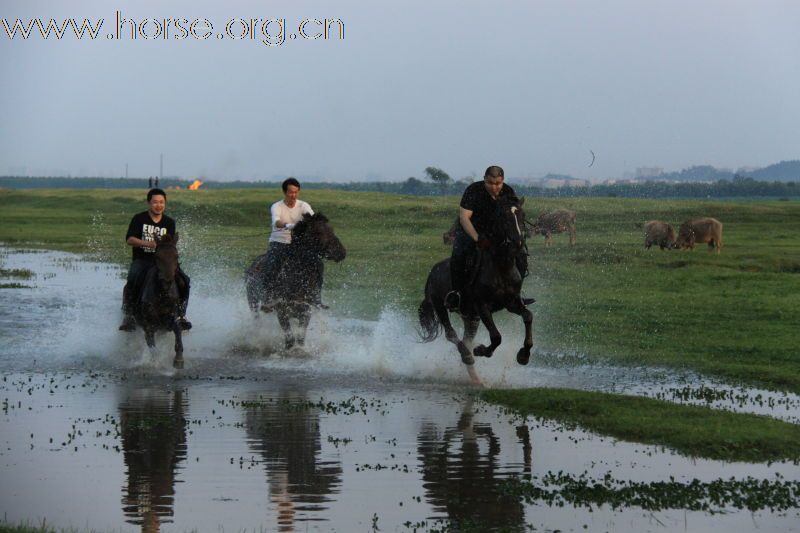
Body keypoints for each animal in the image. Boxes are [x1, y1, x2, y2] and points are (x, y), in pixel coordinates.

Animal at [136, 235, 189, 368]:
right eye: (157, 256)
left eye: (176, 256)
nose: (166, 282)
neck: (162, 295)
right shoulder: (148, 324)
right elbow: (152, 345)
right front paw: (155, 362)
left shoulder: (172, 318)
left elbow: (178, 330)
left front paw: (178, 360)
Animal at [244, 212, 344, 350]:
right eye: (318, 231)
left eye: (331, 229)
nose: (341, 252)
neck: (297, 276)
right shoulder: (282, 310)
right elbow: (290, 340)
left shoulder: (306, 311)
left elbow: (300, 338)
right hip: (253, 302)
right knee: (256, 320)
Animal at [418, 193, 532, 372]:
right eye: (504, 217)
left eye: (523, 215)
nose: (518, 242)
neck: (501, 266)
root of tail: (432, 272)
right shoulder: (482, 306)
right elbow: (496, 336)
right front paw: (481, 350)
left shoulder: (512, 303)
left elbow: (528, 316)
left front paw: (523, 356)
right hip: (440, 306)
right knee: (451, 334)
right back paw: (467, 355)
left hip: (470, 315)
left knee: (466, 338)